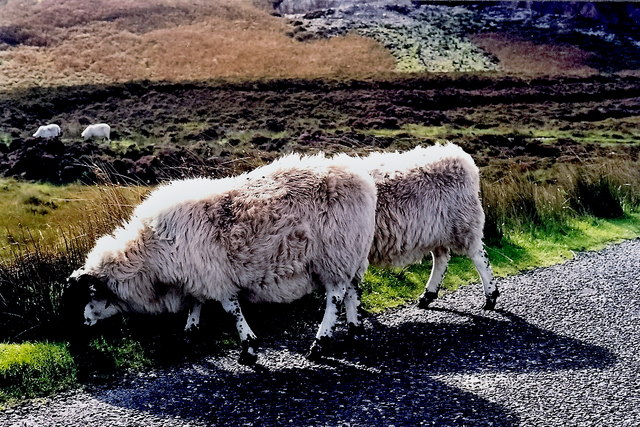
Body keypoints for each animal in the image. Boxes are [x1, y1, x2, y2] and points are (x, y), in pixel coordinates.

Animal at [66, 153, 376, 364]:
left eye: (85, 296)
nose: (75, 337)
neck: (147, 254)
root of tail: (361, 179)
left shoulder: (215, 277)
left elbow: (231, 310)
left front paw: (248, 349)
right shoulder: (195, 274)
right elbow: (195, 304)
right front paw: (189, 334)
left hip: (335, 253)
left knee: (335, 296)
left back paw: (319, 344)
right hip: (350, 253)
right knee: (351, 290)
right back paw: (354, 329)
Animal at [364, 144, 500, 310]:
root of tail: (460, 157)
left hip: (463, 224)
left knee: (479, 256)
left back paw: (491, 297)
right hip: (436, 231)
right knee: (442, 258)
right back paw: (428, 295)